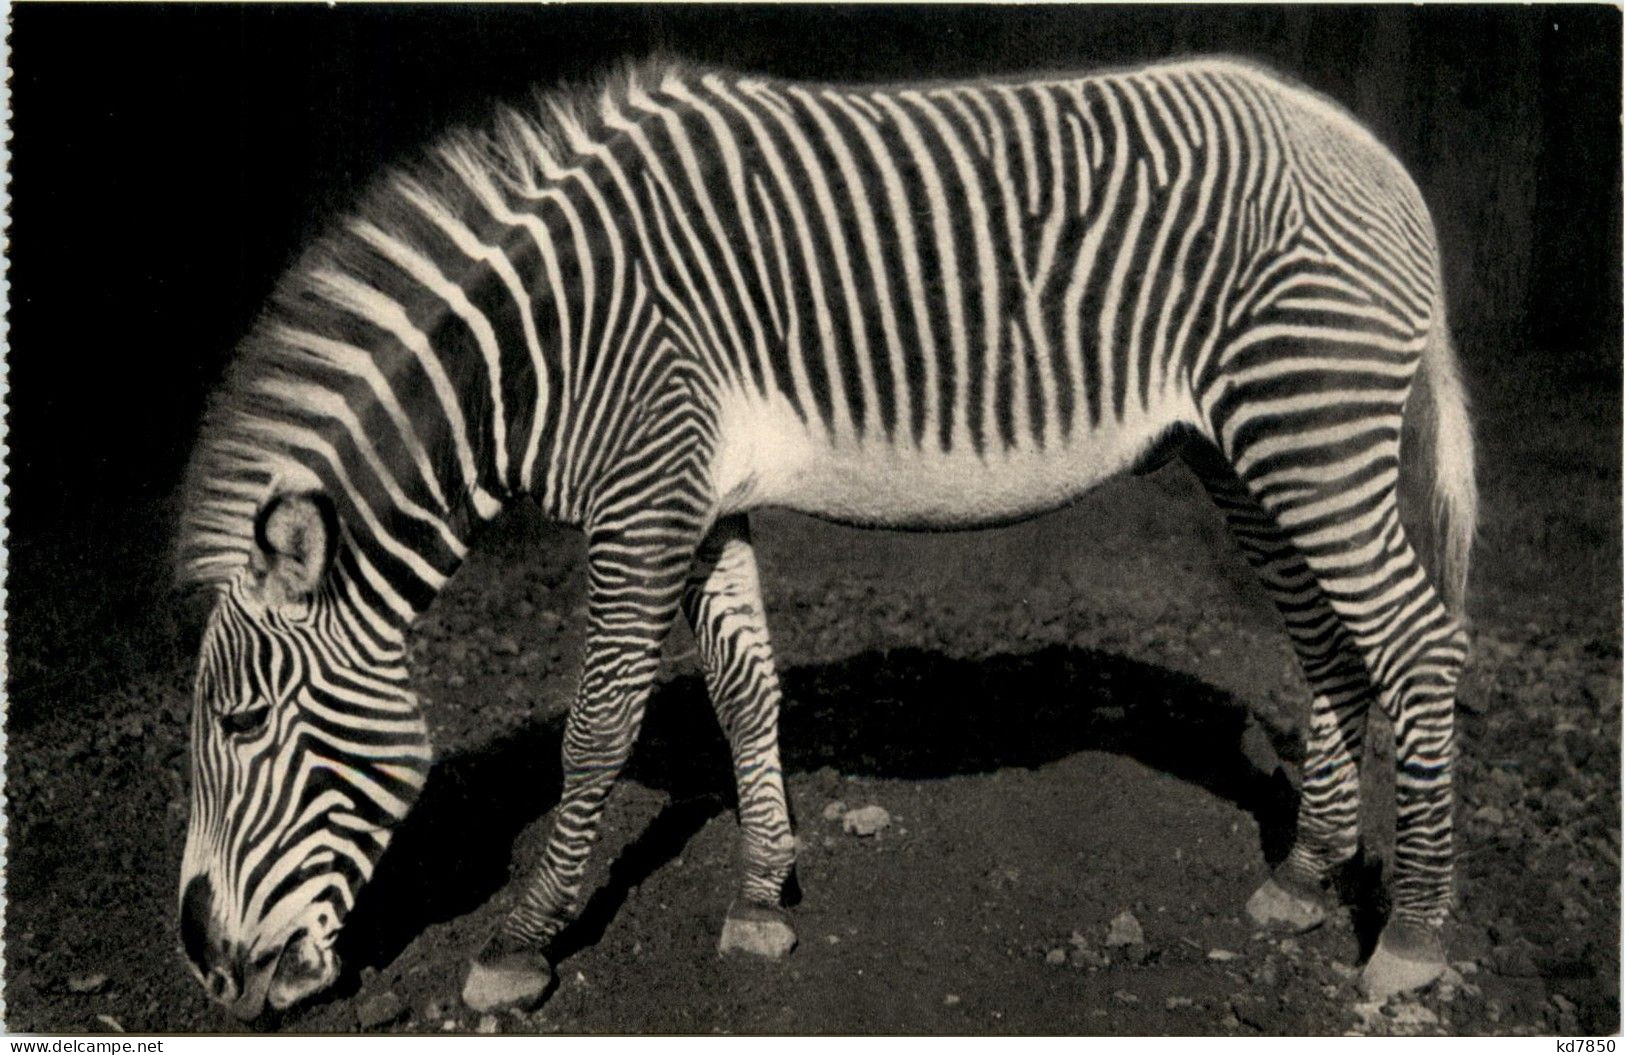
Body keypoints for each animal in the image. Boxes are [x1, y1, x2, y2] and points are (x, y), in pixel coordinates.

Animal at [174, 57, 1475, 1020]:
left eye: (239, 723)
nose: (209, 972)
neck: (539, 350)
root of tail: (1369, 150)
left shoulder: (641, 497)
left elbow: (597, 729)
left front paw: (517, 943)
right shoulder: (698, 498)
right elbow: (745, 690)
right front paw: (761, 898)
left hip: (1305, 426)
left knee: (1416, 645)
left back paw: (1409, 935)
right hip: (1241, 448)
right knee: (1327, 640)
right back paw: (1303, 874)